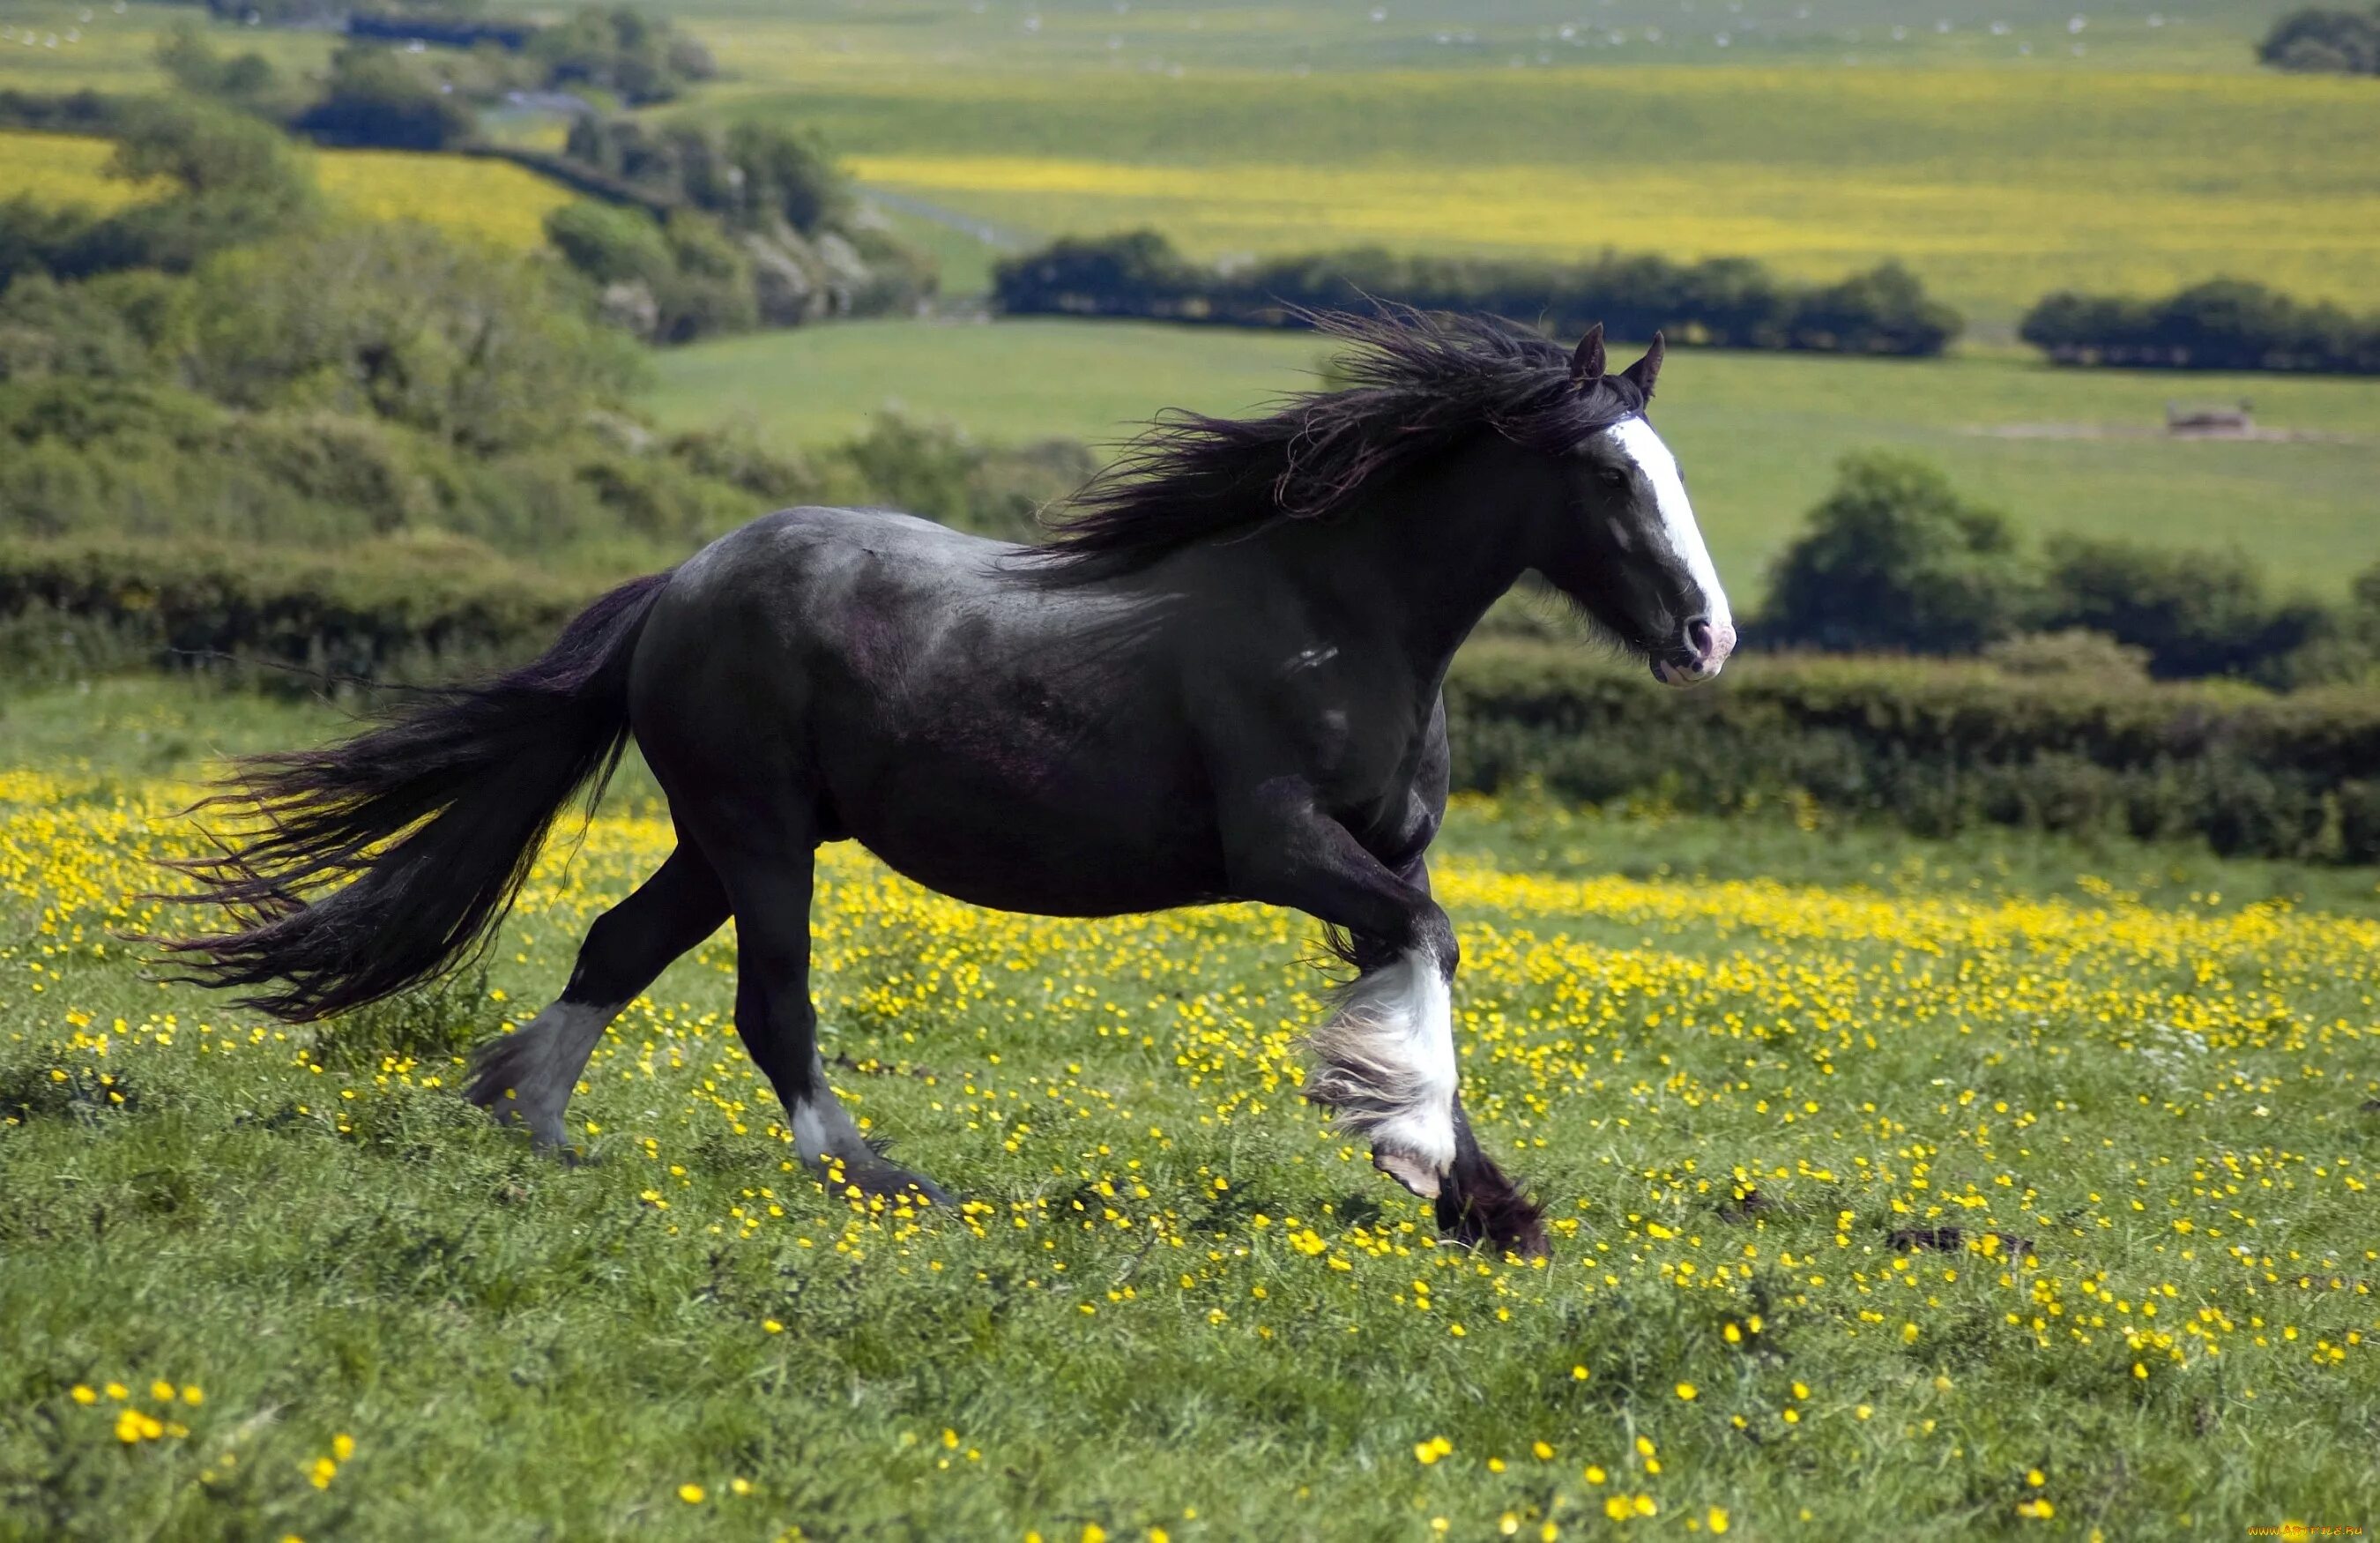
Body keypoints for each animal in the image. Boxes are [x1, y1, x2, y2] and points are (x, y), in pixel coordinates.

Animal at [162, 307, 1732, 1256]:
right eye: (1610, 476)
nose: (1709, 637)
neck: (1338, 614)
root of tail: (681, 582)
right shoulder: (1283, 846)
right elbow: (1429, 954)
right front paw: (1417, 1156)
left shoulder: (1382, 856)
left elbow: (1425, 966)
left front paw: (1486, 1199)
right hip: (759, 831)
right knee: (769, 1004)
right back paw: (877, 1175)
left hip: (722, 834)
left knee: (616, 946)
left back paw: (526, 1122)